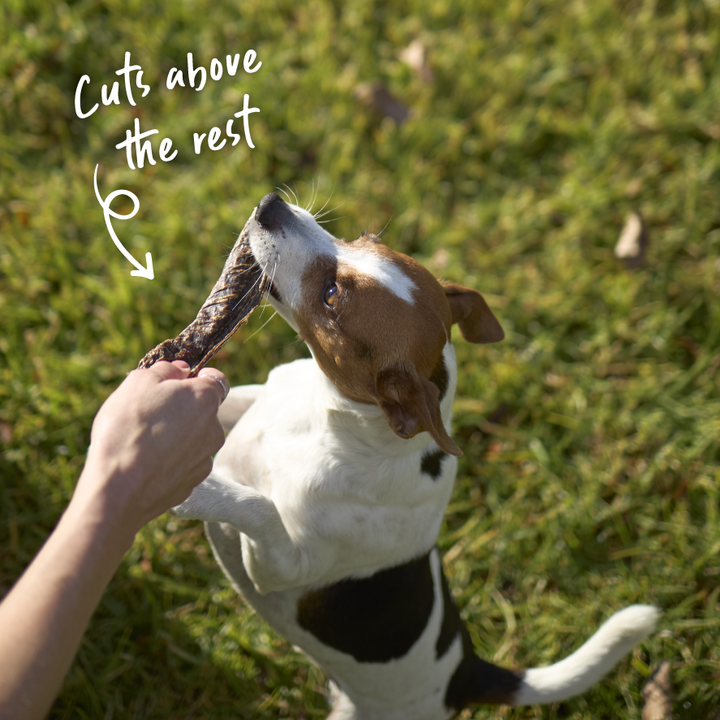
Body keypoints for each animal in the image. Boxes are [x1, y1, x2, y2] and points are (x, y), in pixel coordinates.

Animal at [176, 191, 660, 720]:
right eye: (362, 238)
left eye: (331, 295)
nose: (270, 204)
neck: (326, 427)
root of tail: (465, 674)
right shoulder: (256, 400)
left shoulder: (281, 568)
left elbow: (258, 506)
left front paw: (195, 489)